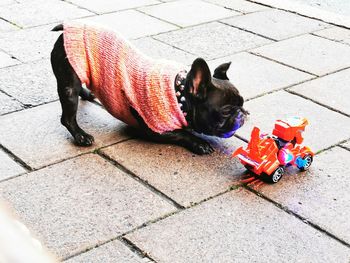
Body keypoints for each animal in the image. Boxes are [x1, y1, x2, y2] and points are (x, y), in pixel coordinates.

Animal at [50, 24, 247, 156]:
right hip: (69, 85)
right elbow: (182, 133)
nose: (243, 113)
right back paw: (81, 136)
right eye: (226, 111)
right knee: (67, 117)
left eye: (242, 103)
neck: (179, 96)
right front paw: (200, 143)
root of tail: (67, 28)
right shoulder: (155, 129)